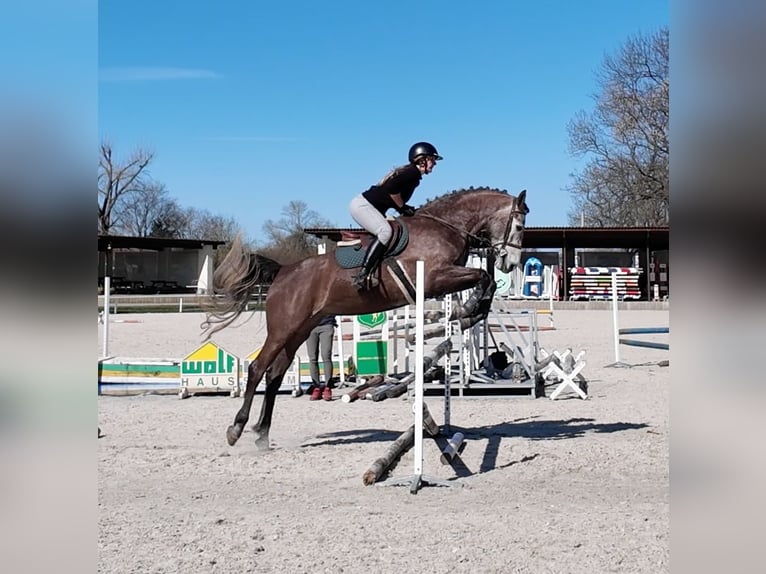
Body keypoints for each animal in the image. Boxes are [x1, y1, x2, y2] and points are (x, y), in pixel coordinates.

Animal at [202, 187, 528, 449]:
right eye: (519, 226)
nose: (510, 263)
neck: (447, 226)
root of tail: (283, 272)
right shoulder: (434, 278)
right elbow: (484, 276)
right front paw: (467, 310)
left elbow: (485, 281)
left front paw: (470, 311)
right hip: (282, 329)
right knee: (257, 369)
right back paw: (237, 429)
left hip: (299, 331)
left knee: (274, 375)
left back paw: (262, 434)